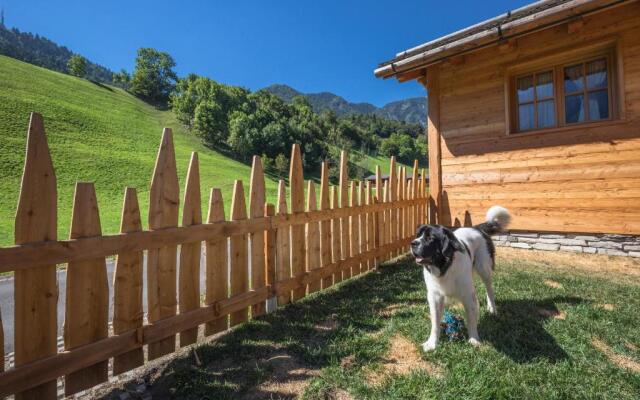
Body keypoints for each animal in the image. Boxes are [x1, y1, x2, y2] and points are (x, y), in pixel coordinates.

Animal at [412, 206, 512, 350]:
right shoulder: (434, 296)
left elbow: (471, 318)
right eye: (418, 236)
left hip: (484, 268)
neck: (445, 267)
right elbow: (435, 321)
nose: (413, 243)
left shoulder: (467, 295)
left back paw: (492, 308)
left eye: (430, 238)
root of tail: (476, 228)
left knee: (489, 289)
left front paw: (474, 339)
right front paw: (432, 343)